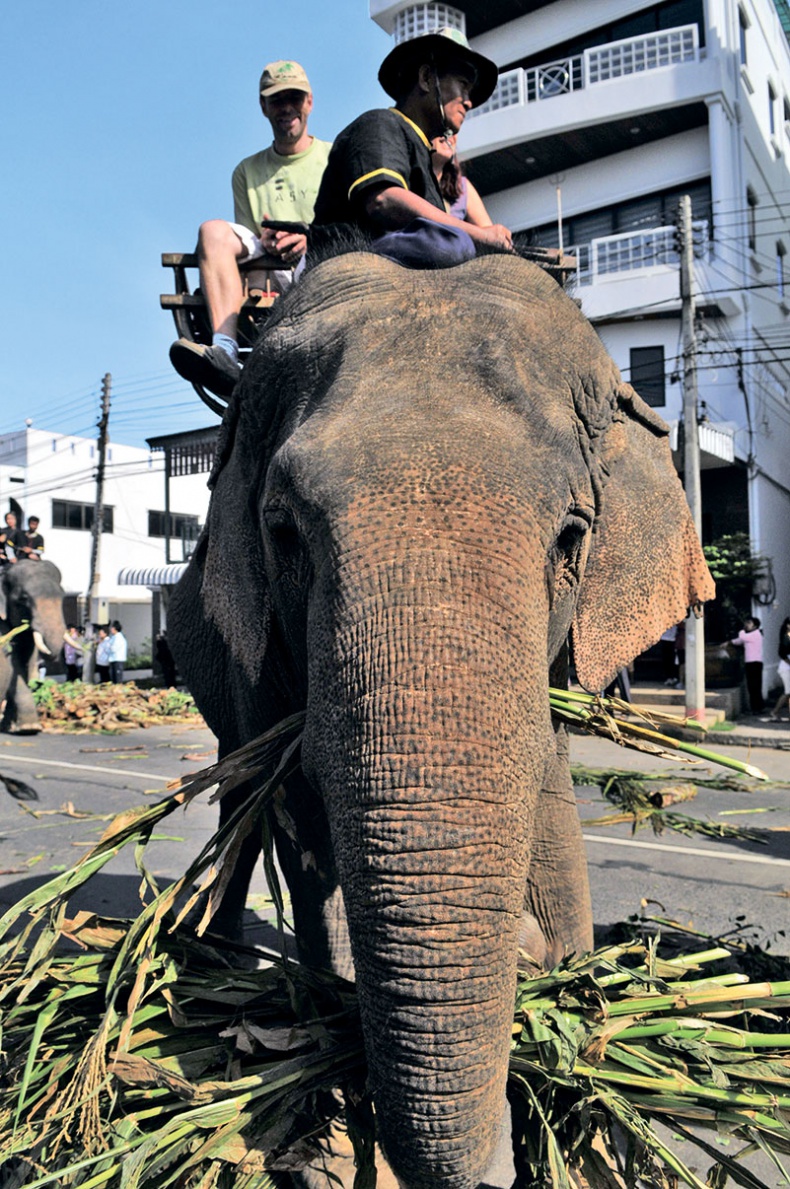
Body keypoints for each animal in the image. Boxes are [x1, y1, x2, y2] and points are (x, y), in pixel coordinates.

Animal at [0, 558, 67, 732]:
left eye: (62, 596)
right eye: (24, 599)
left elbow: (27, 665)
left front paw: (11, 727)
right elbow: (13, 666)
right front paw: (29, 728)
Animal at [167, 250, 713, 1189]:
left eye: (573, 536)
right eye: (284, 532)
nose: (528, 957)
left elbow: (550, 803)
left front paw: (575, 1037)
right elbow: (305, 832)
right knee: (246, 805)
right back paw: (222, 969)